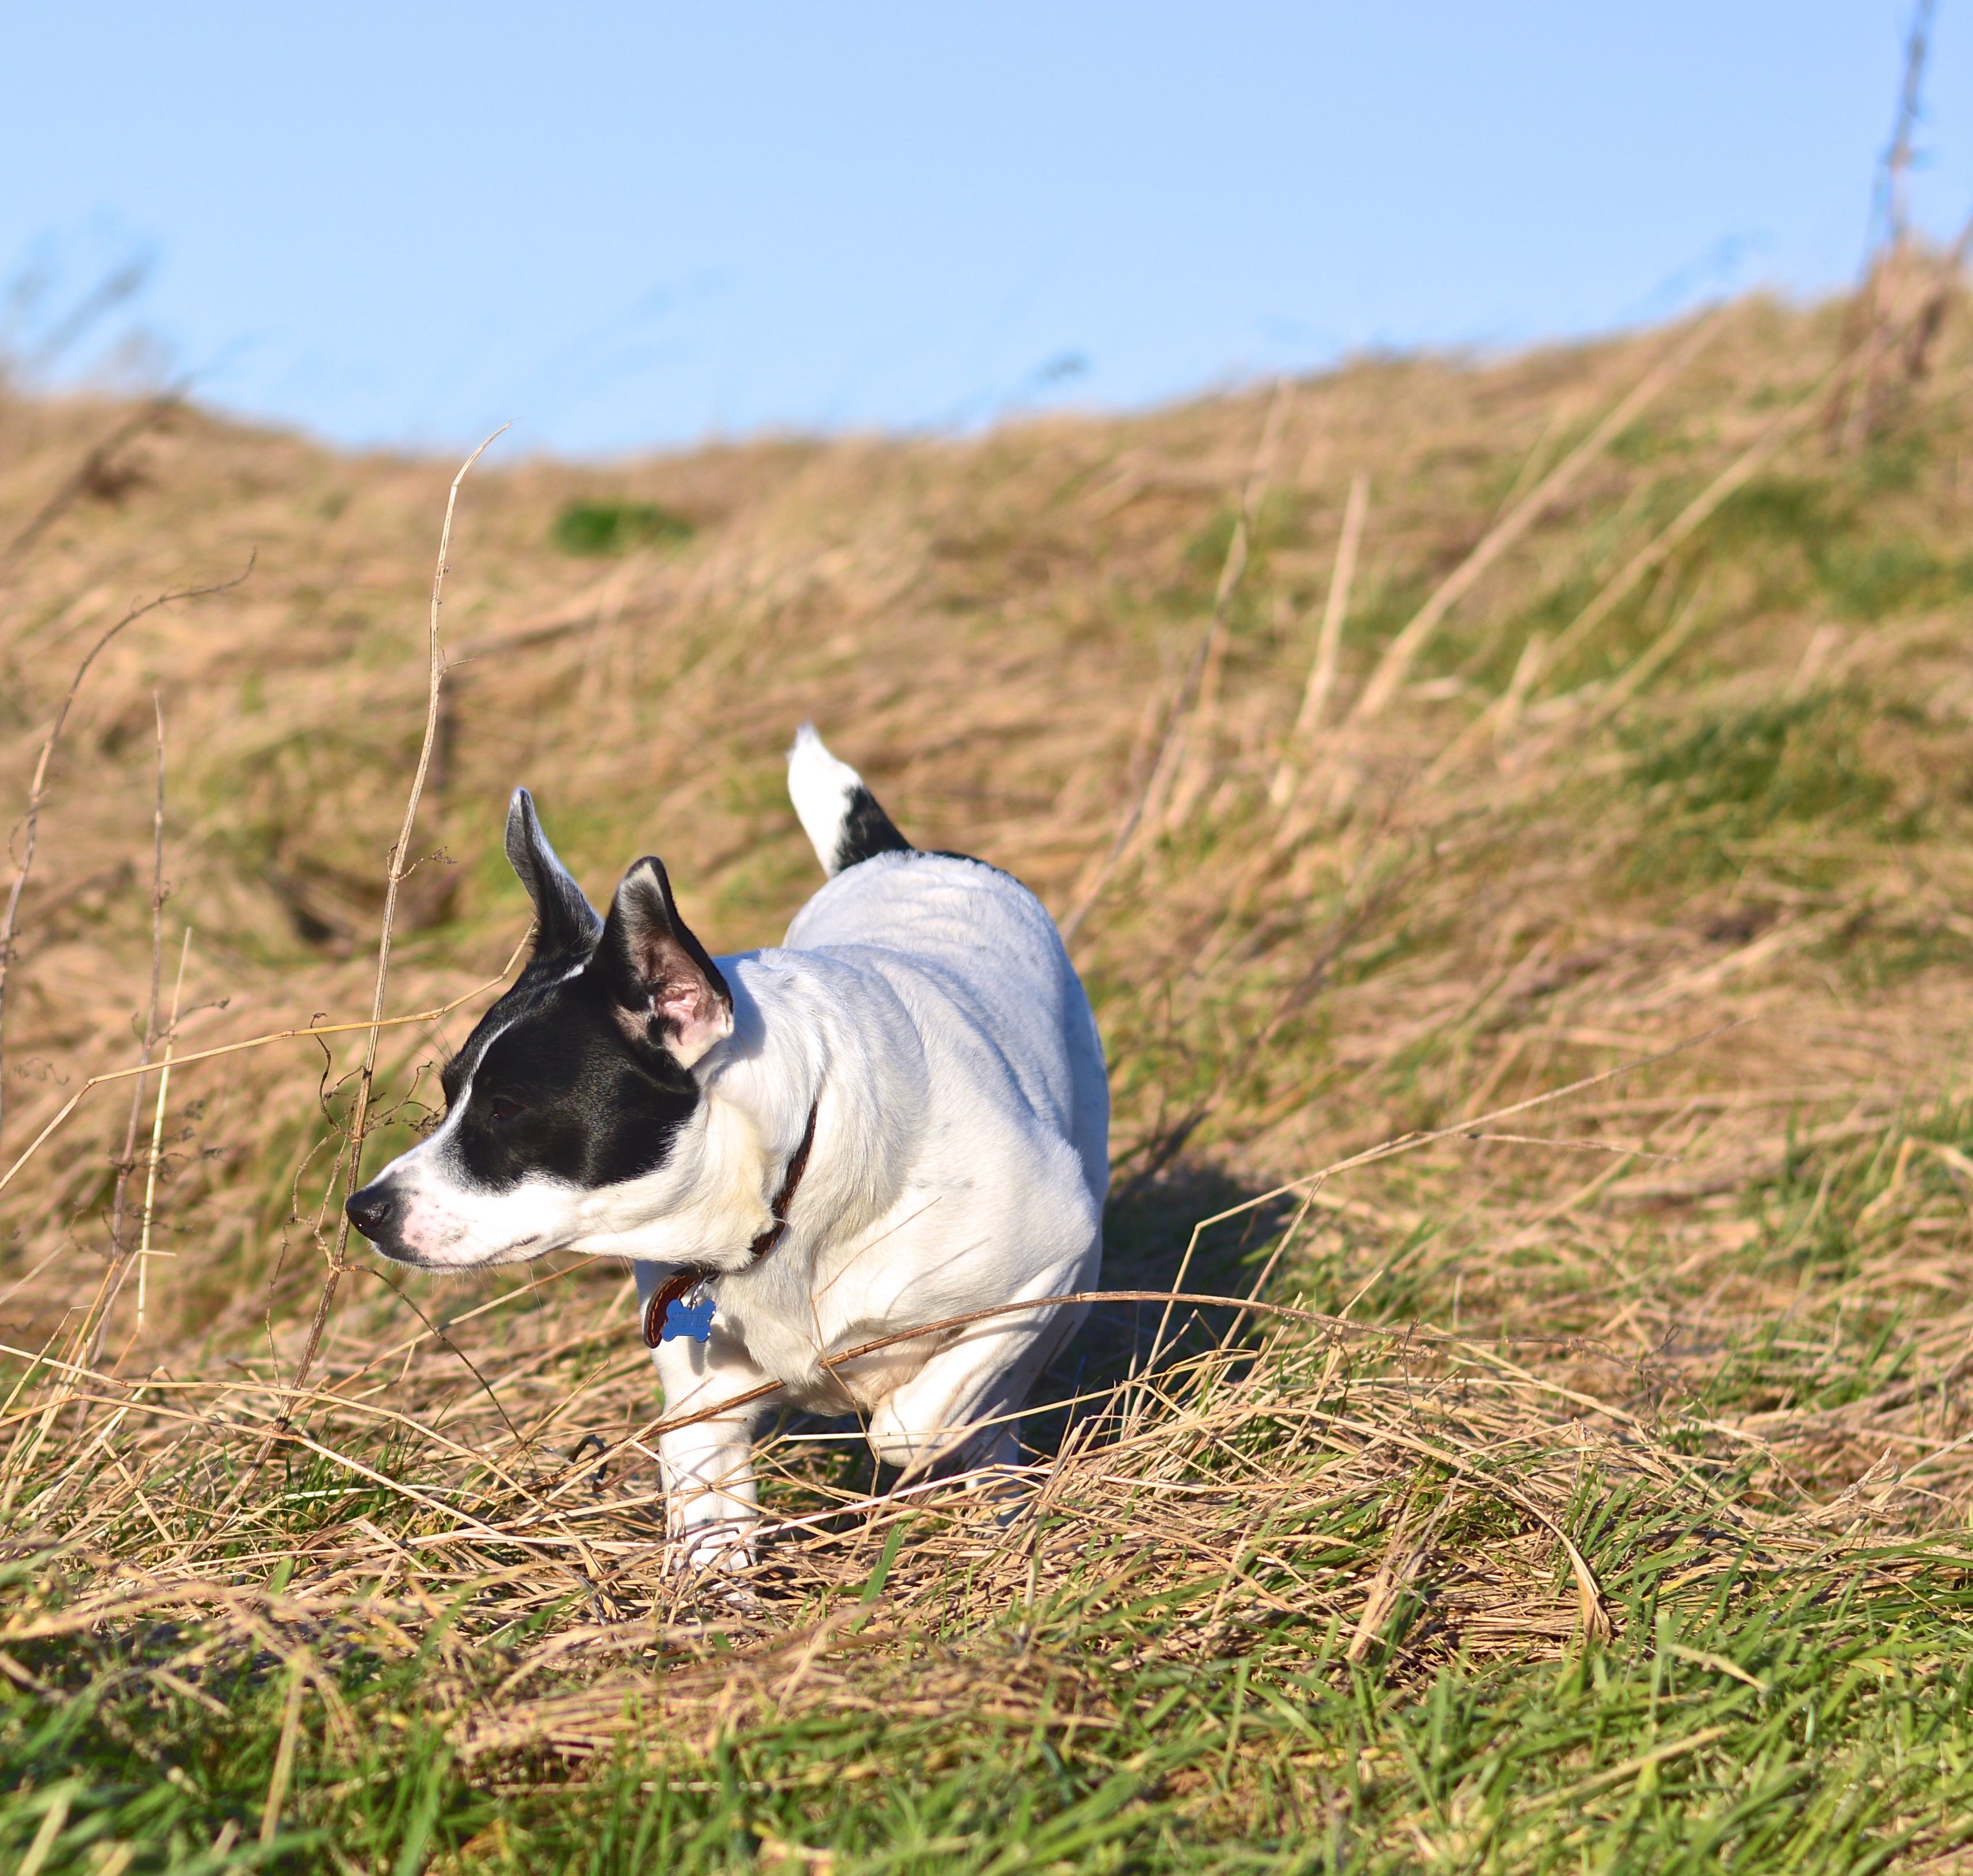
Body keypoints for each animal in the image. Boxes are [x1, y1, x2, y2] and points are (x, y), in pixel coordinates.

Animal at [345, 726, 1108, 1565]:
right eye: (452, 1092)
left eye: (508, 1110)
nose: (363, 1209)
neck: (788, 1192)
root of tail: (899, 855)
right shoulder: (704, 1403)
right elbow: (709, 1519)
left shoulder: (1057, 1262)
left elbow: (912, 1423)